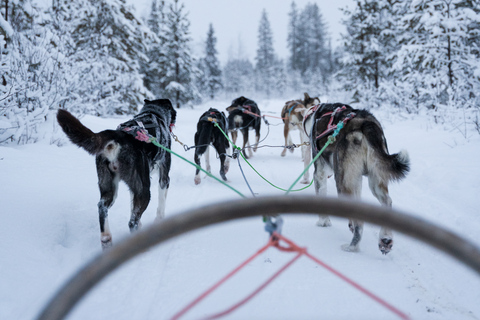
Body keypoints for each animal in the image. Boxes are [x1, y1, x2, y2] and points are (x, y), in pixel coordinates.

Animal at [56, 99, 176, 249]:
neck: (153, 112)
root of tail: (119, 136)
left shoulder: (134, 187)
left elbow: (132, 205)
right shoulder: (164, 177)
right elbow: (161, 203)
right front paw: (159, 221)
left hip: (110, 187)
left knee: (102, 207)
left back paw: (106, 239)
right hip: (144, 191)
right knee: (132, 222)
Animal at [304, 103, 408, 255]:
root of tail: (366, 123)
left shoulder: (320, 173)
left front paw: (323, 222)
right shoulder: (357, 180)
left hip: (342, 181)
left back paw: (352, 247)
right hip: (374, 179)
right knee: (387, 202)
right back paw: (385, 239)